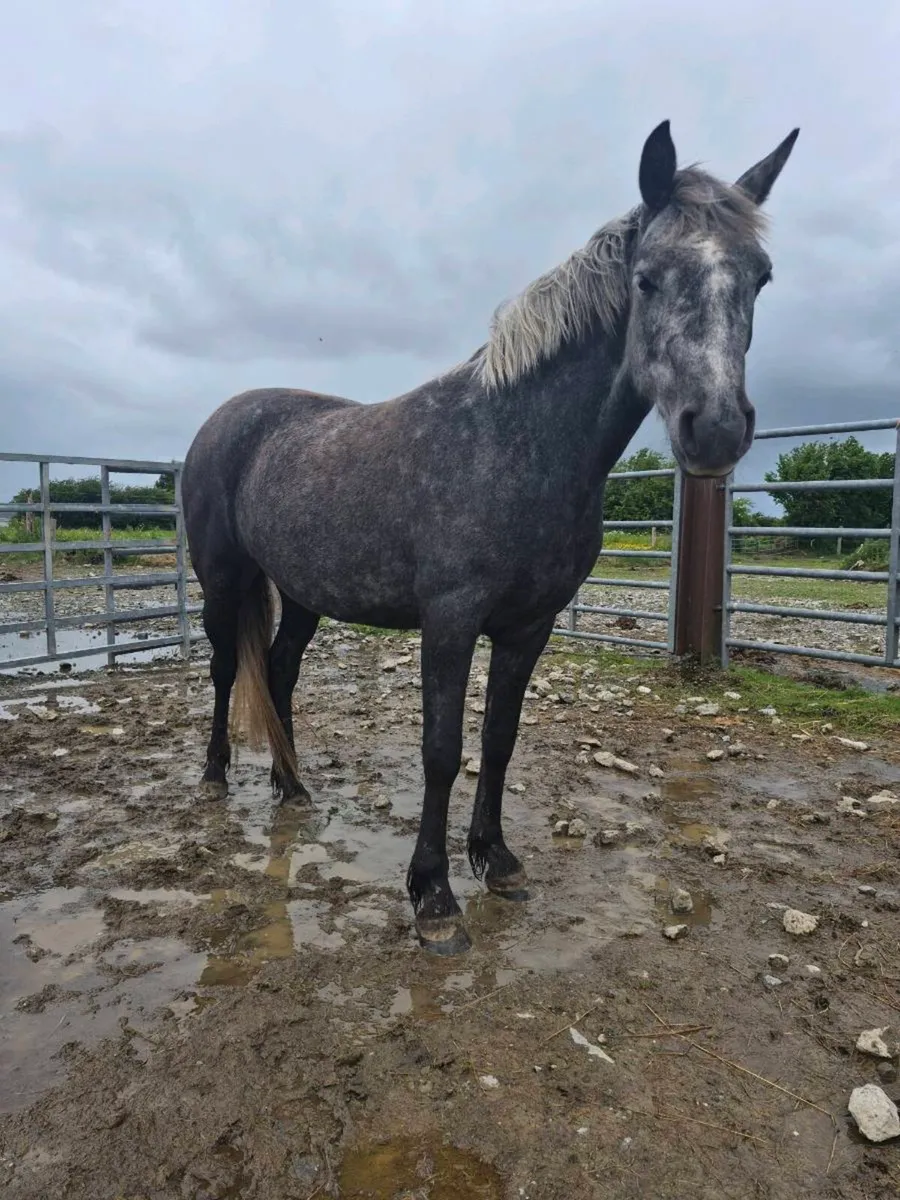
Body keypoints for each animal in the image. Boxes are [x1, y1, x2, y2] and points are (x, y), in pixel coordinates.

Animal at [182, 120, 799, 955]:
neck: (514, 443)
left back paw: (293, 784)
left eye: (760, 277)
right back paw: (217, 777)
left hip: (303, 591)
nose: (718, 431)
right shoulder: (450, 620)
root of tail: (224, 420)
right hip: (220, 578)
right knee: (225, 669)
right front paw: (434, 898)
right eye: (646, 279)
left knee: (278, 671)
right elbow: (442, 750)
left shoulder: (529, 625)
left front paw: (497, 861)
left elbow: (500, 738)